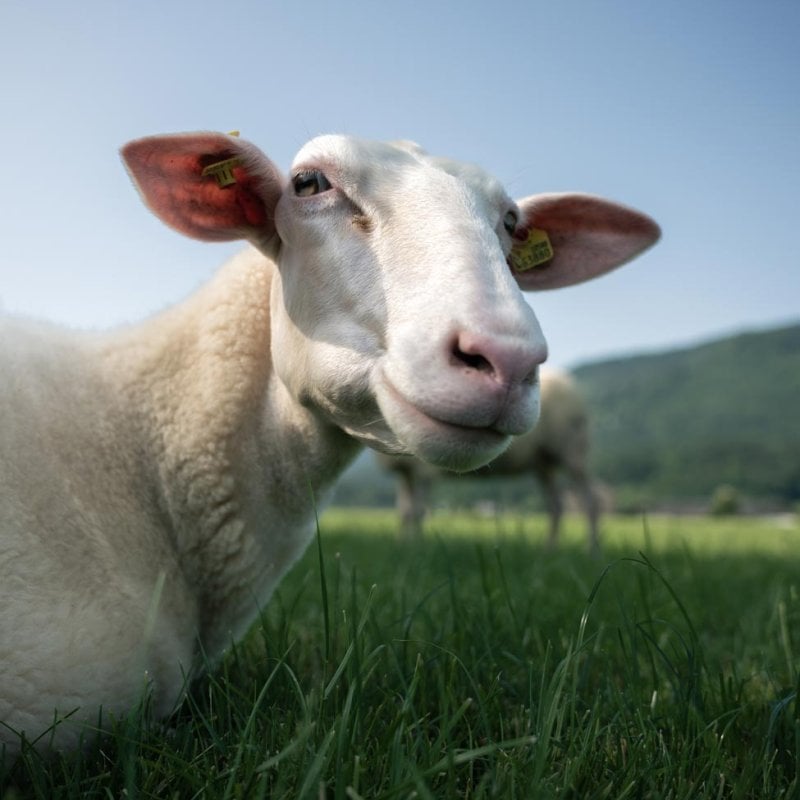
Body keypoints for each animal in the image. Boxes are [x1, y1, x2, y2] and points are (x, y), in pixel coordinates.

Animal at [377, 368, 603, 554]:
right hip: (544, 463)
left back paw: (592, 549)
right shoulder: (405, 472)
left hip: (572, 450)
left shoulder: (424, 471)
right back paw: (550, 549)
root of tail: (569, 383)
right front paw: (402, 545)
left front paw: (417, 547)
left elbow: (417, 511)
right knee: (556, 505)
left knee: (590, 499)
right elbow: (404, 510)